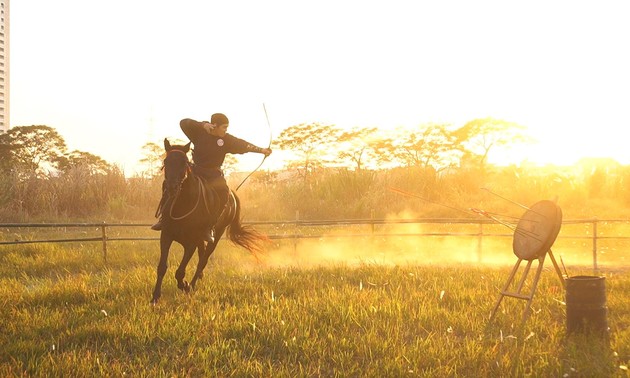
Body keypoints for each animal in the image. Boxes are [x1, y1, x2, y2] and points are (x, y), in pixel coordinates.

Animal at [154, 139, 272, 304]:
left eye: (184, 162)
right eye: (166, 161)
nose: (172, 187)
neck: (183, 205)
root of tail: (232, 195)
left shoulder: (191, 242)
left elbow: (180, 272)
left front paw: (185, 286)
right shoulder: (166, 235)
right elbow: (162, 267)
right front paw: (155, 296)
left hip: (216, 235)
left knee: (203, 260)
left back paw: (192, 284)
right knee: (201, 256)